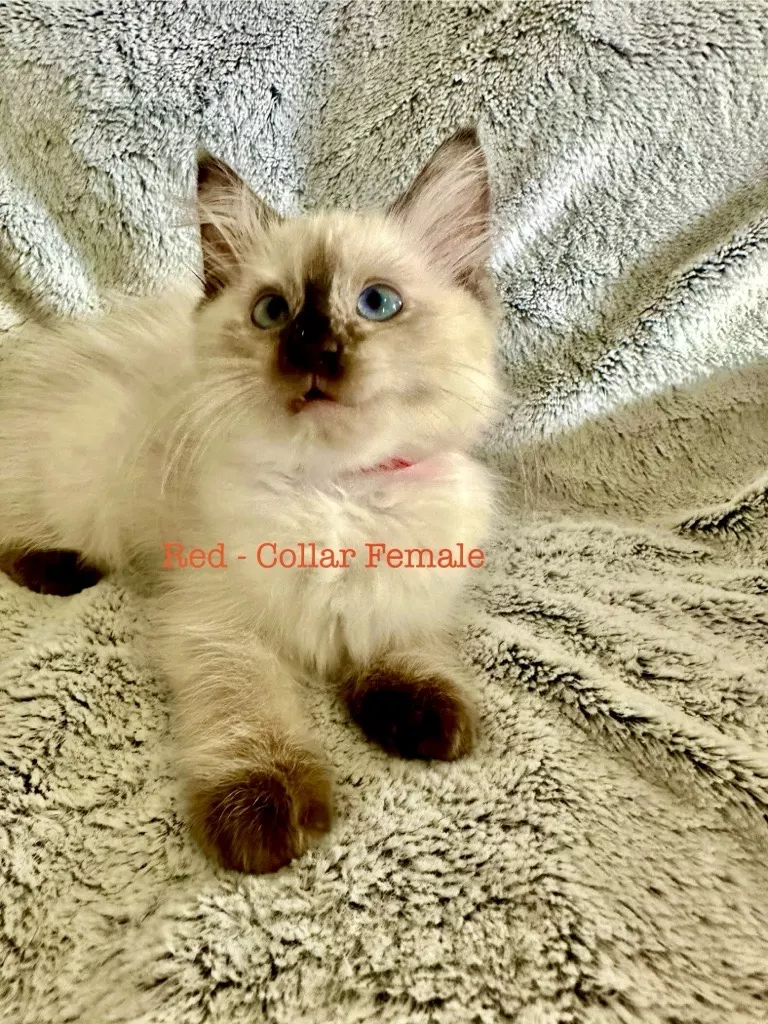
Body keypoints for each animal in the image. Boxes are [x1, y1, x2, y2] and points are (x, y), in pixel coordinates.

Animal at [0, 127, 501, 872]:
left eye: (376, 304)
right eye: (273, 313)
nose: (313, 345)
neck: (336, 490)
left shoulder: (405, 597)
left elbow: (409, 653)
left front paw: (425, 719)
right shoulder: (217, 623)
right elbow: (249, 708)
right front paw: (265, 818)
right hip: (77, 474)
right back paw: (62, 570)